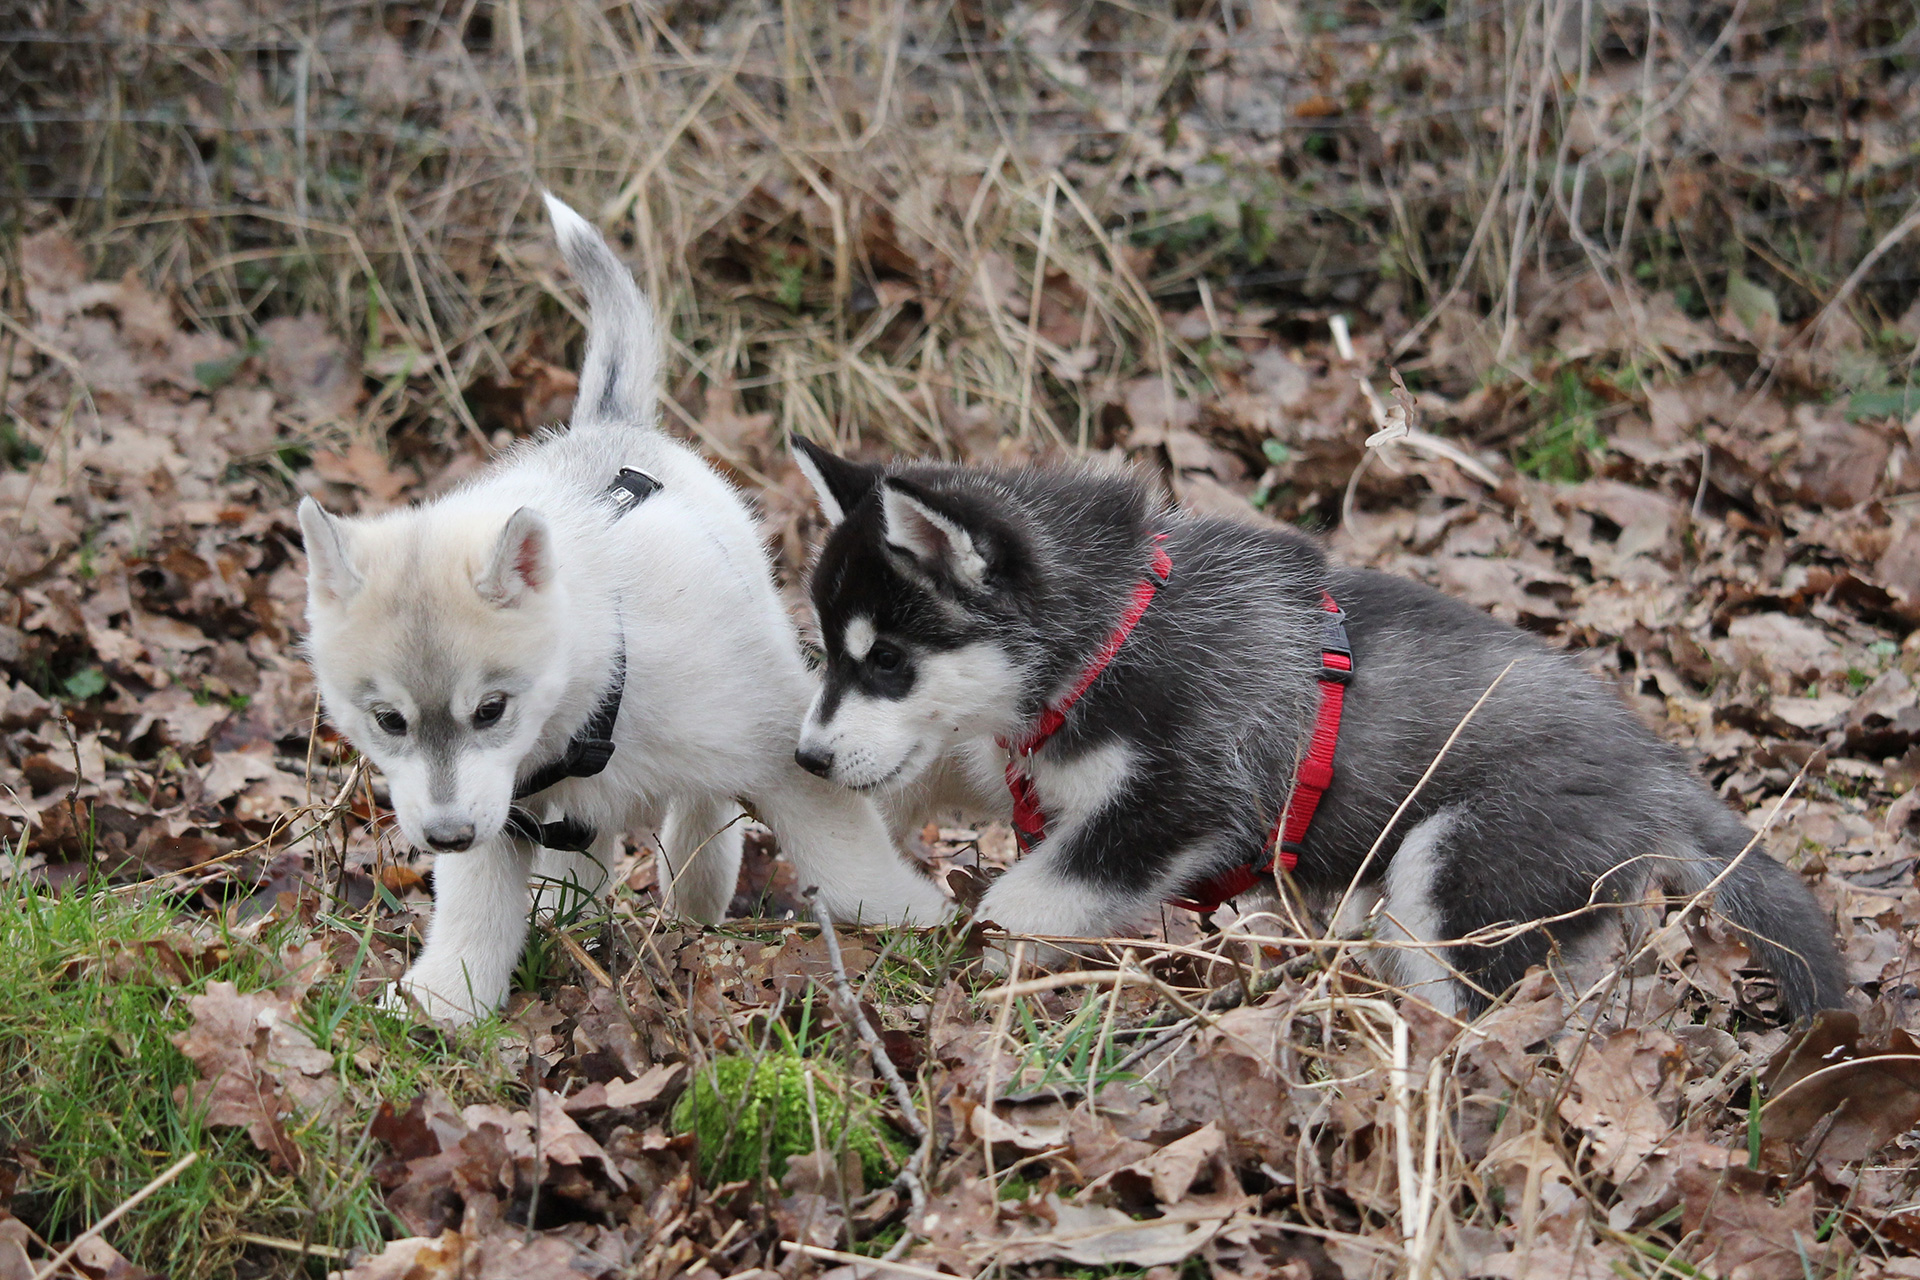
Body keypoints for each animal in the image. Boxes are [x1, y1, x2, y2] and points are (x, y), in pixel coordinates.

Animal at [296, 197, 949, 1023]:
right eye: (388, 721)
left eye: (490, 710)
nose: (443, 837)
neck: (596, 691)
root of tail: (612, 424)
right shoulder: (499, 815)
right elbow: (476, 917)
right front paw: (440, 1006)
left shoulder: (782, 745)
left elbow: (854, 870)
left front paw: (926, 926)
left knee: (703, 808)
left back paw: (696, 892)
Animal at [786, 440, 1848, 1021]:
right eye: (834, 655)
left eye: (887, 659)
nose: (807, 756)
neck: (1114, 630)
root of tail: (1662, 771)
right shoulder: (1015, 742)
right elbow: (939, 765)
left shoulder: (1185, 801)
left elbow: (1027, 896)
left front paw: (974, 954)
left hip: (1455, 870)